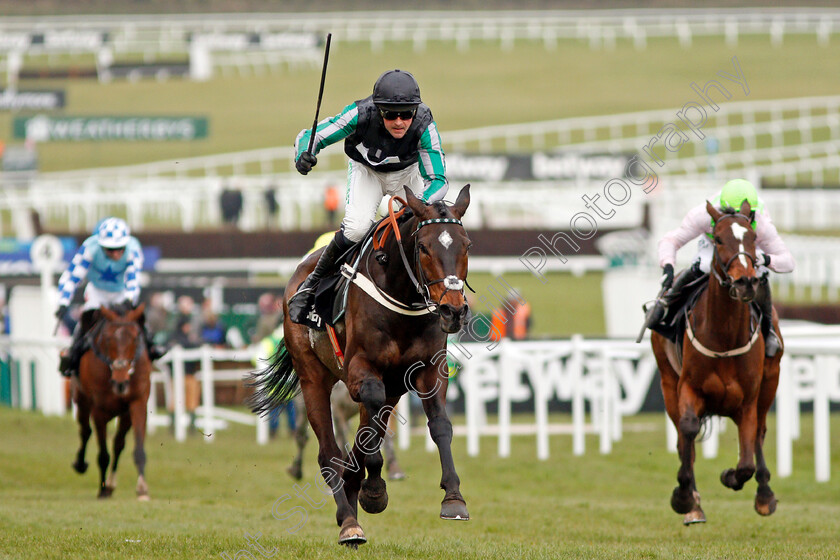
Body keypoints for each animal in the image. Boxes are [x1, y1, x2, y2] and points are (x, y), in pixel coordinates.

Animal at [71, 304, 153, 500]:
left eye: (135, 337)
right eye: (108, 338)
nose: (120, 381)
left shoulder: (138, 404)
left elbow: (137, 449)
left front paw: (142, 489)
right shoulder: (98, 411)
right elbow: (103, 454)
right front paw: (102, 490)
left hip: (124, 415)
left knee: (118, 444)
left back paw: (110, 483)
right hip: (82, 401)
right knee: (85, 431)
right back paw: (82, 465)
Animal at [249, 186, 472, 544]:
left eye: (467, 245)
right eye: (423, 246)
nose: (454, 310)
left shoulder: (428, 371)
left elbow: (439, 425)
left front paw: (453, 499)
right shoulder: (360, 372)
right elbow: (362, 439)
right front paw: (374, 489)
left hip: (391, 387)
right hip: (313, 376)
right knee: (328, 452)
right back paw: (349, 521)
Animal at [648, 200, 780, 524]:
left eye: (754, 238)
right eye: (718, 239)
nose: (746, 282)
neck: (724, 337)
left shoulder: (748, 400)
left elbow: (746, 461)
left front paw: (731, 476)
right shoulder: (688, 388)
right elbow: (688, 431)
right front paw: (684, 497)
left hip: (770, 382)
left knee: (760, 434)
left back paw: (764, 495)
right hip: (667, 380)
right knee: (684, 437)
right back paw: (693, 504)